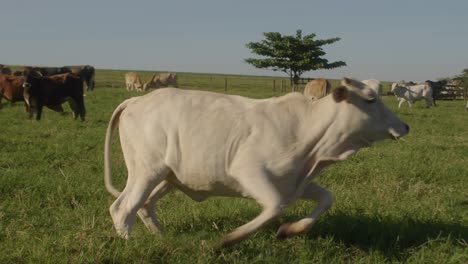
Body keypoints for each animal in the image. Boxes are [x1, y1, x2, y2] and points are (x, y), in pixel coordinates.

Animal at [103, 77, 410, 246]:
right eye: (370, 100)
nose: (404, 126)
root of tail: (135, 101)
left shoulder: (295, 181)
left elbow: (326, 199)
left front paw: (290, 230)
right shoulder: (247, 172)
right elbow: (274, 207)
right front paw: (229, 239)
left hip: (168, 176)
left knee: (144, 206)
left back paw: (162, 237)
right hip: (147, 171)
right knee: (123, 207)